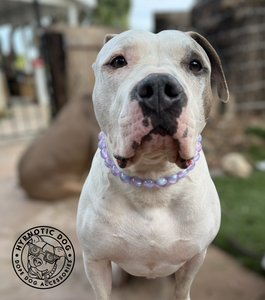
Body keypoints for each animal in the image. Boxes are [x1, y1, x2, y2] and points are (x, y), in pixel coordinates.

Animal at [76, 29, 227, 300]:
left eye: (195, 64)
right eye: (118, 61)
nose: (158, 87)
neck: (153, 177)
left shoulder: (195, 256)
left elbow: (182, 288)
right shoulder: (94, 261)